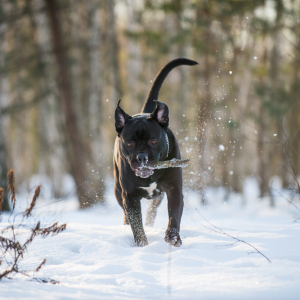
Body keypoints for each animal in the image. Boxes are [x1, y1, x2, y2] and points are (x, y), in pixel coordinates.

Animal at [113, 58, 198, 246]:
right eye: (129, 143)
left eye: (153, 140)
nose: (142, 157)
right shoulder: (129, 196)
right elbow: (136, 223)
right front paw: (142, 244)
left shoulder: (174, 189)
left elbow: (174, 215)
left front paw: (172, 237)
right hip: (117, 190)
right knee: (126, 214)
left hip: (159, 194)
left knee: (154, 207)